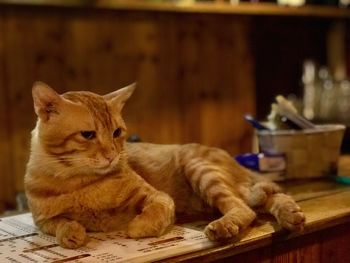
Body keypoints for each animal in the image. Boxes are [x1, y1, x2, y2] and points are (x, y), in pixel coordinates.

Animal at [24, 82, 304, 250]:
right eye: (88, 135)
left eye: (116, 132)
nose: (113, 155)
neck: (81, 183)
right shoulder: (41, 220)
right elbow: (60, 223)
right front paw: (72, 233)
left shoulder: (158, 197)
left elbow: (155, 213)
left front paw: (136, 228)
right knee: (268, 198)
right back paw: (292, 215)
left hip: (201, 170)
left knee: (246, 208)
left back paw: (223, 227)